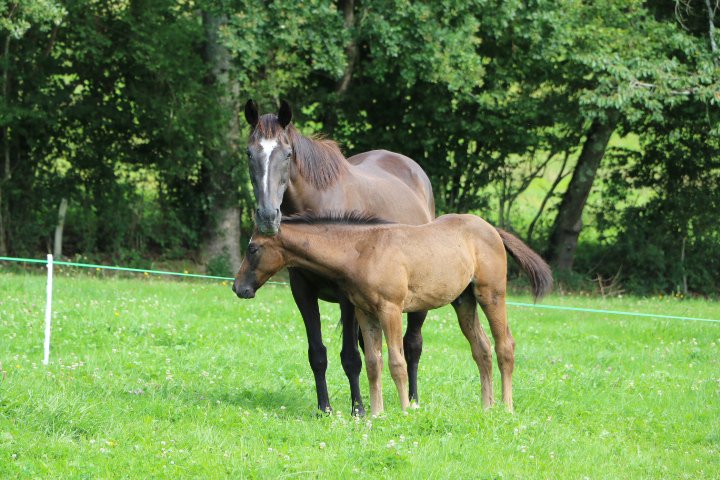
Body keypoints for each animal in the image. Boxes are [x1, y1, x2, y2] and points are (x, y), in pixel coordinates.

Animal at [232, 212, 553, 416]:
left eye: (253, 248)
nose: (238, 287)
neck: (362, 250)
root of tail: (492, 230)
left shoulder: (391, 309)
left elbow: (396, 362)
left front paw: (405, 410)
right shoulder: (365, 313)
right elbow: (373, 363)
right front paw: (376, 414)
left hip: (491, 295)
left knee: (504, 346)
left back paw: (506, 408)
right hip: (464, 302)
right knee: (482, 349)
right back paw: (486, 408)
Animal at [243, 100, 435, 416]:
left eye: (287, 154)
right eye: (249, 153)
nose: (268, 216)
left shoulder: (348, 300)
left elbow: (351, 357)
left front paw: (358, 409)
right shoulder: (303, 292)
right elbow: (318, 354)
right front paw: (325, 408)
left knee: (412, 345)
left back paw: (414, 400)